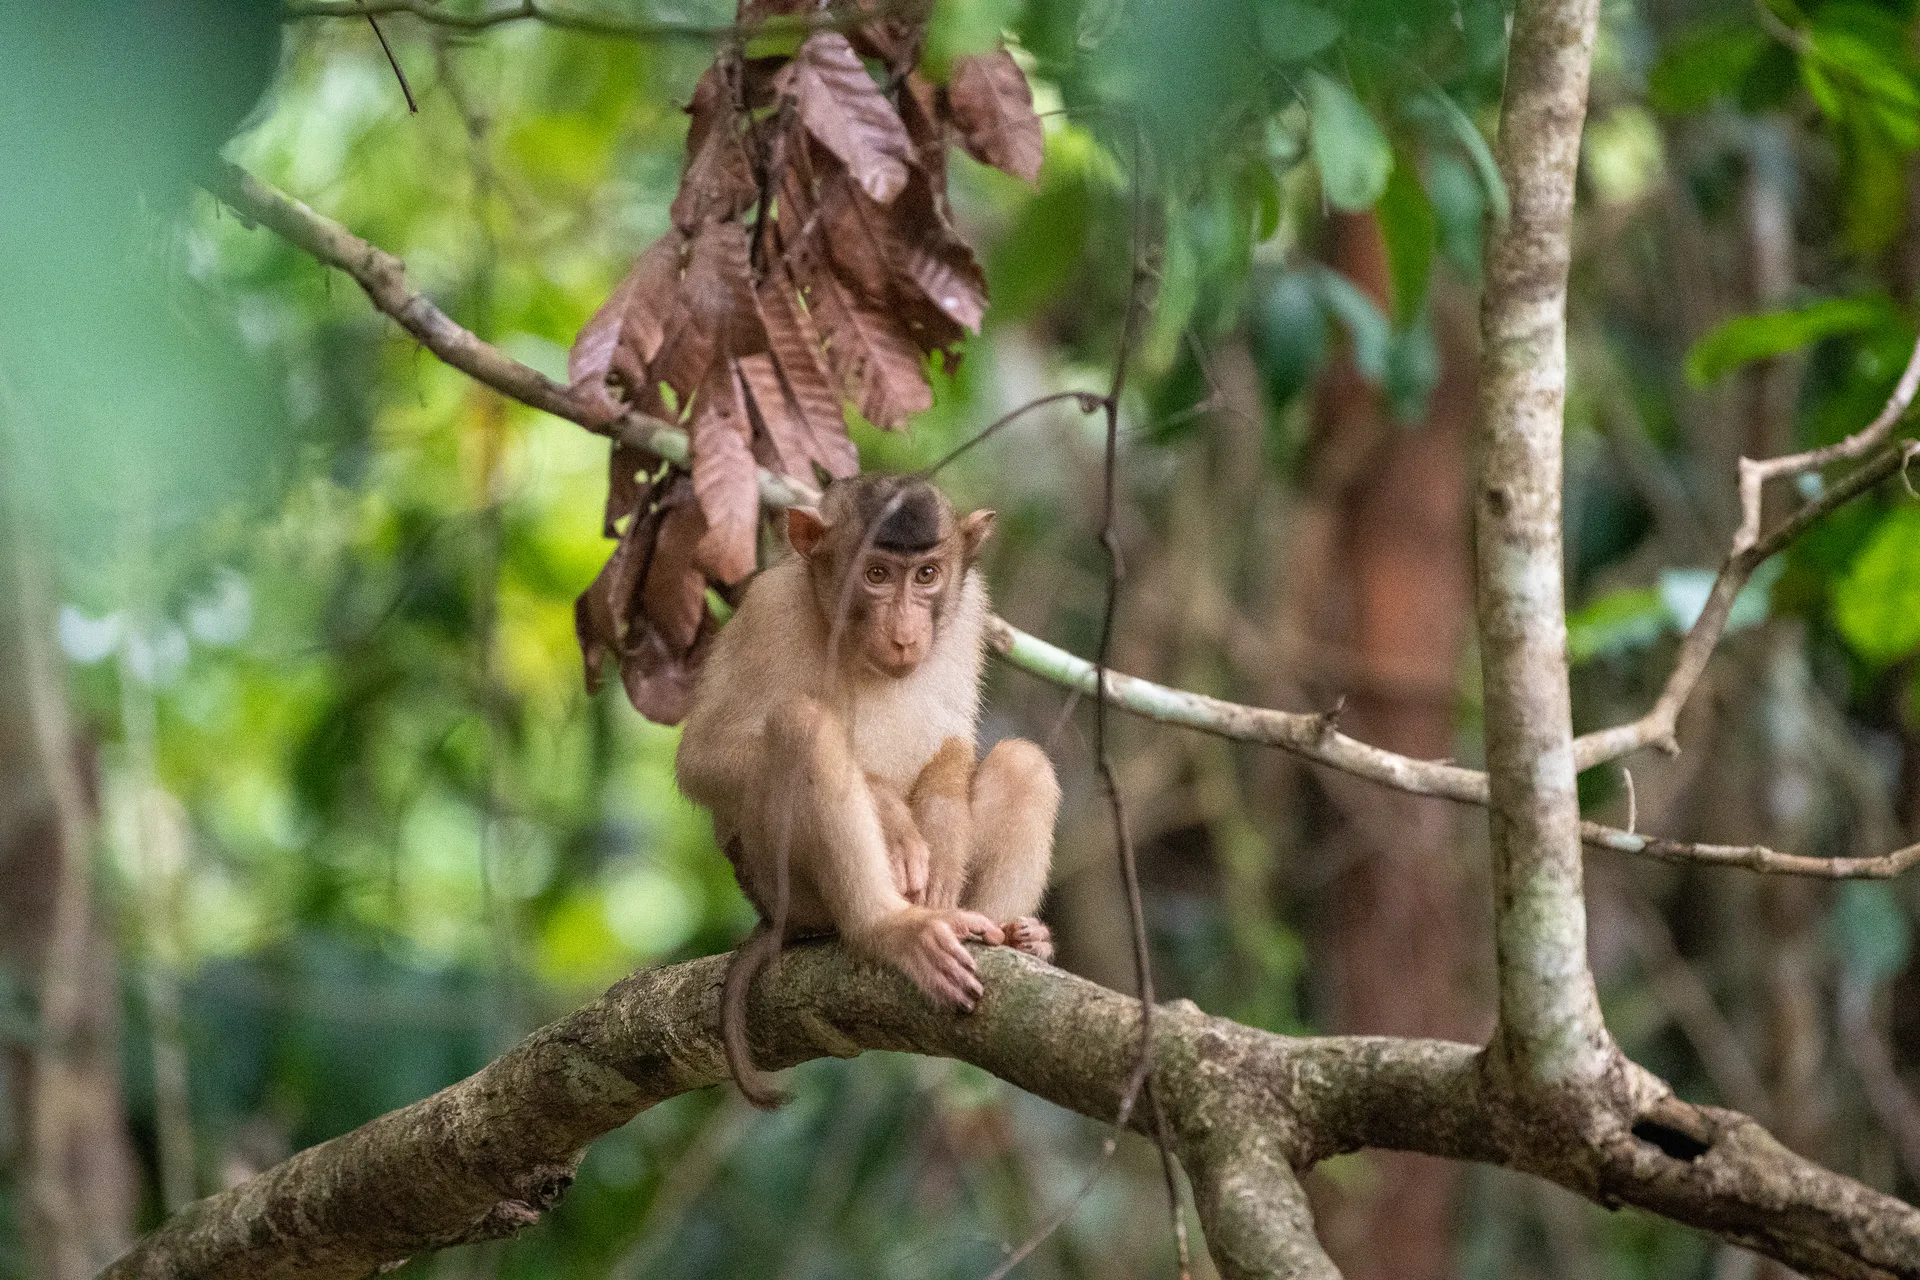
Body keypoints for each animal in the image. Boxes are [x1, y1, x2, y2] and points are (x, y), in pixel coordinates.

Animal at [674, 474, 1061, 1107]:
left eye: (926, 575)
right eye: (876, 574)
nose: (905, 634)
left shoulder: (969, 614)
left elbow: (953, 737)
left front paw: (940, 832)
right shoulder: (768, 609)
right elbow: (704, 758)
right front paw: (888, 810)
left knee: (1023, 763)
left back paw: (1009, 935)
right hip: (783, 886)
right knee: (803, 727)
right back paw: (888, 928)